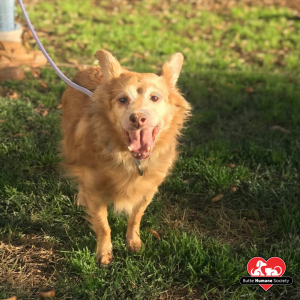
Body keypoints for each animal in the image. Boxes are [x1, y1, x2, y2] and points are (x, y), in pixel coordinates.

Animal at [60, 49, 191, 264]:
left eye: (154, 98)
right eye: (122, 100)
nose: (138, 118)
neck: (131, 159)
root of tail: (88, 68)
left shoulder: (147, 190)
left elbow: (135, 217)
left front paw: (133, 241)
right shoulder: (95, 191)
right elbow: (103, 225)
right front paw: (104, 253)